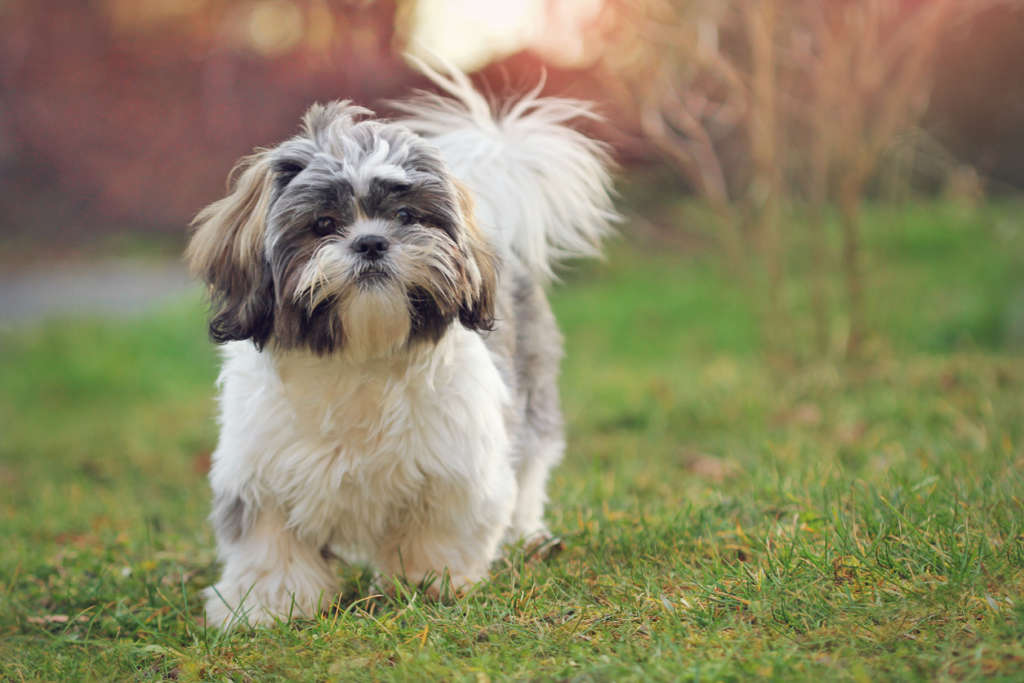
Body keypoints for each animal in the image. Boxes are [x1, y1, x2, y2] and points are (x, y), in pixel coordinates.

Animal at [186, 63, 614, 630]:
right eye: (323, 225)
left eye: (408, 217)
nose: (371, 242)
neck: (360, 356)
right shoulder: (259, 472)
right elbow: (269, 545)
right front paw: (267, 605)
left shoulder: (456, 465)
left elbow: (439, 530)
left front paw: (430, 582)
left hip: (532, 399)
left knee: (529, 473)